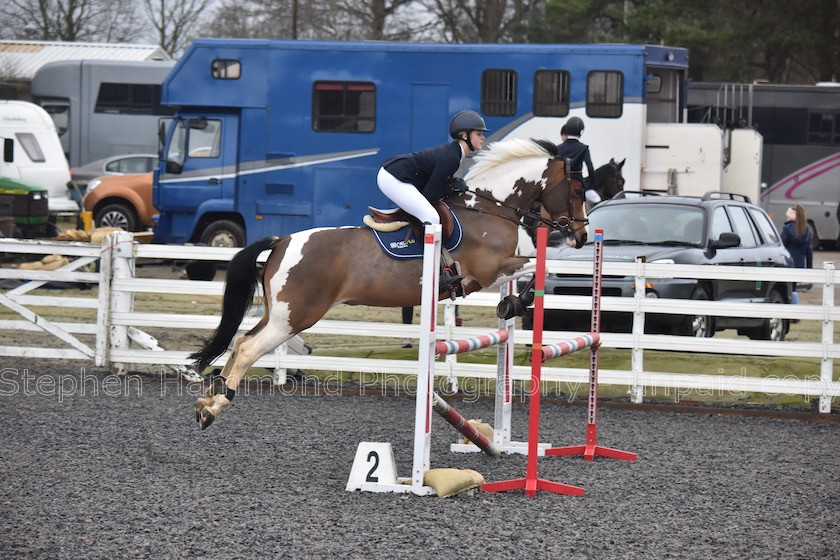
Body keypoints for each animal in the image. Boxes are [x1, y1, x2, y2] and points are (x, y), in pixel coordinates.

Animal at [190, 137, 588, 428]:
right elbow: (537, 265)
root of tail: (282, 240)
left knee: (240, 341)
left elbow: (535, 266)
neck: (491, 207)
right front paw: (516, 302)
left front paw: (513, 303)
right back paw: (215, 406)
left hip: (280, 314)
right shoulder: (489, 271)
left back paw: (207, 400)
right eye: (578, 190)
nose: (582, 236)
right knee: (248, 348)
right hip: (294, 317)